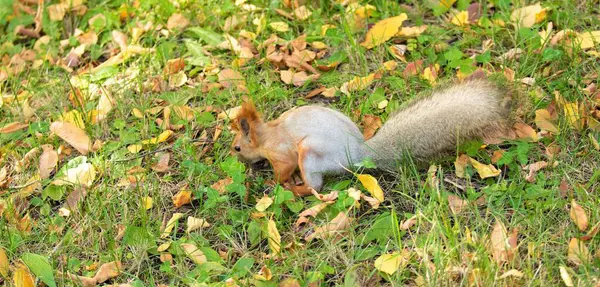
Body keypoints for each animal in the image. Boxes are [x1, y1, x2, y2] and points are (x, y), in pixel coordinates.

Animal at [230, 77, 510, 197]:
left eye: (237, 148)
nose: (237, 159)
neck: (267, 134)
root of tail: (359, 153)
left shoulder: (281, 153)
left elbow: (283, 169)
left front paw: (274, 182)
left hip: (310, 155)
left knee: (315, 186)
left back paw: (297, 189)